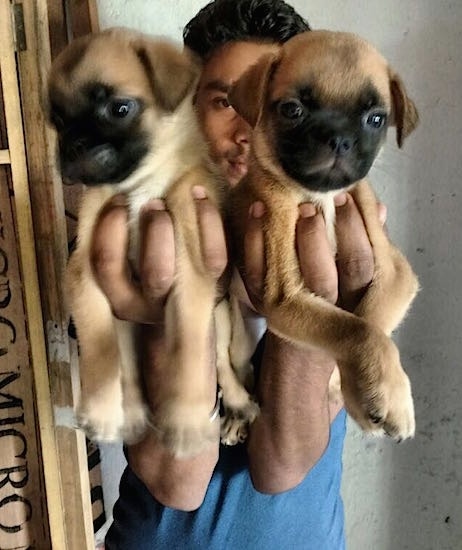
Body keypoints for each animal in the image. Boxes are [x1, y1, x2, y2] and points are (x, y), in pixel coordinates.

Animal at [47, 28, 242, 460]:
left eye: (120, 109)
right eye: (59, 121)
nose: (72, 145)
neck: (140, 185)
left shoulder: (192, 274)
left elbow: (189, 350)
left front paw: (186, 421)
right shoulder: (84, 271)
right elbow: (100, 353)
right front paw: (100, 413)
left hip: (220, 319)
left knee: (221, 362)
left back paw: (238, 402)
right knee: (129, 373)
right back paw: (132, 414)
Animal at [226, 31, 418, 444]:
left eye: (376, 119)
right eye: (292, 110)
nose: (339, 139)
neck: (322, 198)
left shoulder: (396, 275)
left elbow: (371, 321)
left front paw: (366, 390)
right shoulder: (286, 297)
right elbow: (356, 330)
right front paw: (378, 394)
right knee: (233, 367)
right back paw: (236, 414)